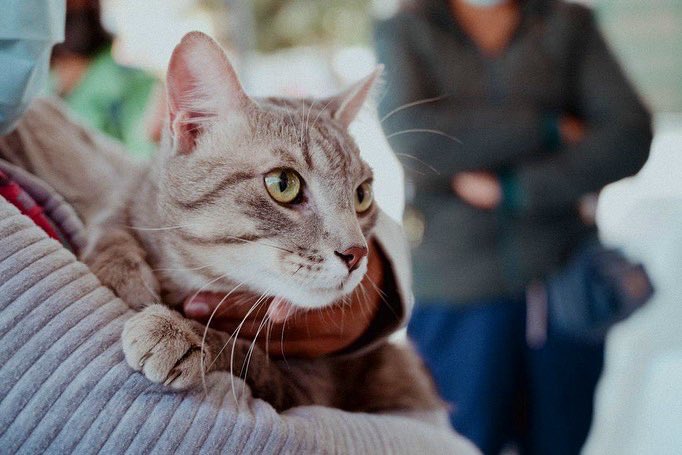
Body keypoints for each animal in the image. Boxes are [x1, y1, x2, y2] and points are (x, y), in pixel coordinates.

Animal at [83, 32, 440, 414]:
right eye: (283, 184)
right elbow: (112, 224)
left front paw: (183, 331)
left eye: (362, 195)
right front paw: (122, 272)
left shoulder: (306, 386)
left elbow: (244, 352)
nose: (358, 253)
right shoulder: (132, 194)